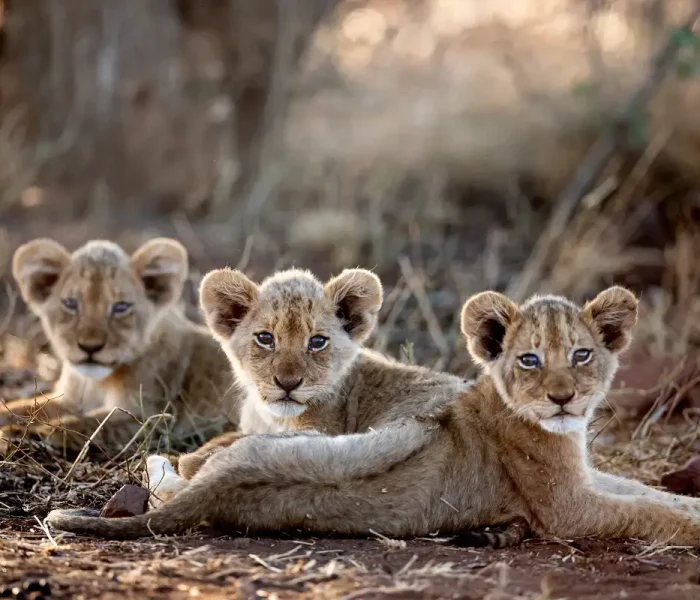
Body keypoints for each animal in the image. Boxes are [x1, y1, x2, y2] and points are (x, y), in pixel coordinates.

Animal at [1, 238, 238, 452]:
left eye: (121, 307)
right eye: (70, 304)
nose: (90, 347)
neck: (94, 383)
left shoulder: (151, 418)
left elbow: (88, 424)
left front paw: (27, 434)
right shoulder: (69, 400)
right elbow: (25, 407)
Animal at [47, 285, 700, 546]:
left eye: (582, 354)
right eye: (530, 360)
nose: (562, 399)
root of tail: (223, 489)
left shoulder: (587, 477)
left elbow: (645, 491)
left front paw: (686, 501)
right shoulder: (566, 508)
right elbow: (642, 513)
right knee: (169, 472)